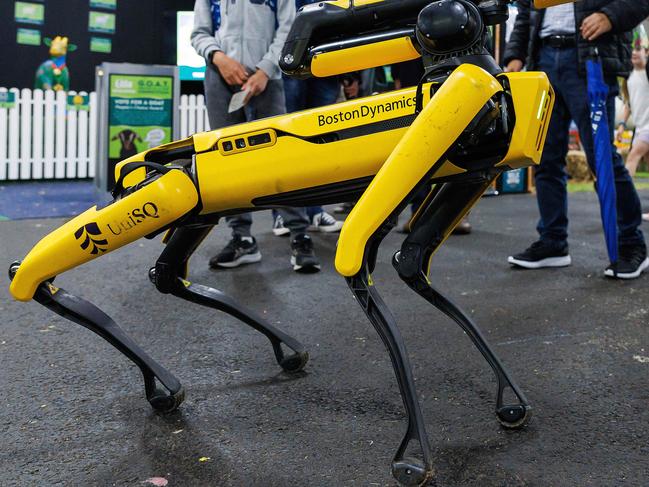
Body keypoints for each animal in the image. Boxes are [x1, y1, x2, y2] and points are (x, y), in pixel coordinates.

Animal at [8, 0, 556, 484]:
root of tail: (151, 163)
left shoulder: (465, 170)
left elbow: (410, 265)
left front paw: (509, 400)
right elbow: (355, 262)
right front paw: (414, 456)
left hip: (192, 211)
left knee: (165, 276)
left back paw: (247, 358)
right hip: (171, 194)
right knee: (35, 275)